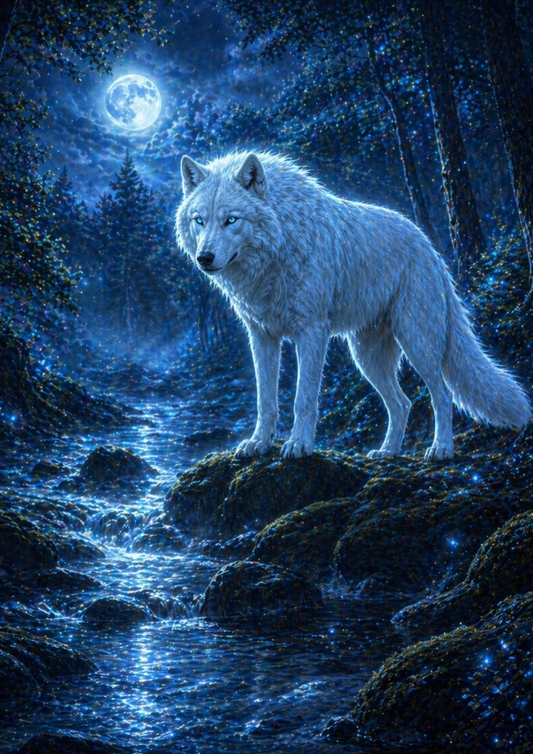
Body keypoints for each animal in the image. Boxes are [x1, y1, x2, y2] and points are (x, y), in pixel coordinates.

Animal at [175, 151, 531, 461]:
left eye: (231, 220)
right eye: (199, 220)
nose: (204, 258)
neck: (282, 242)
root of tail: (431, 250)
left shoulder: (312, 332)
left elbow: (304, 398)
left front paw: (299, 445)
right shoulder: (262, 335)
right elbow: (266, 399)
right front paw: (259, 443)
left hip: (418, 342)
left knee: (441, 395)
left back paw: (441, 449)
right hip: (366, 357)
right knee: (402, 403)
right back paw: (387, 452)